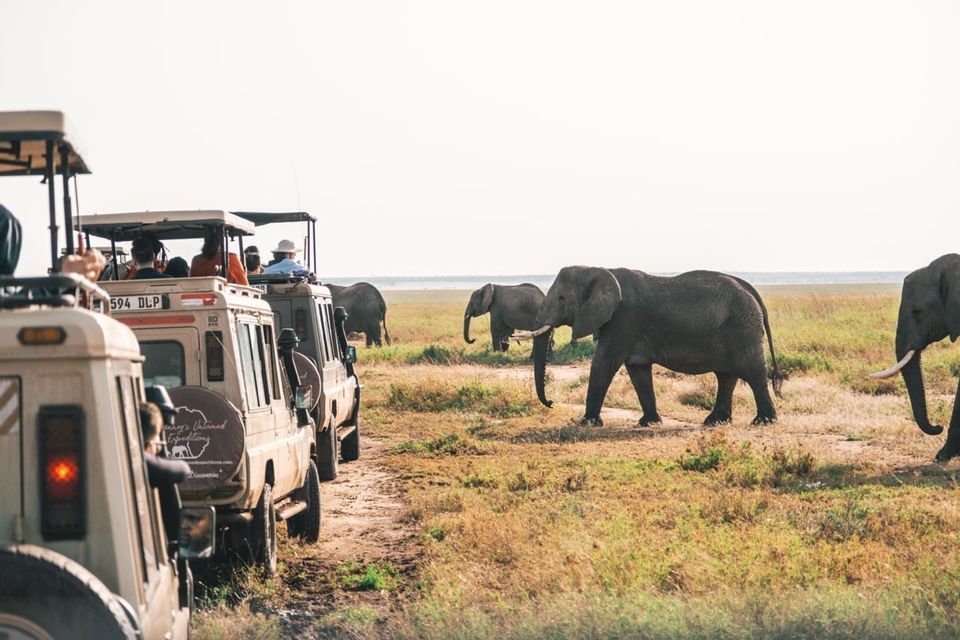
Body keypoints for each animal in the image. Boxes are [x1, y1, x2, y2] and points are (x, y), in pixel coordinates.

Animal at [514, 266, 784, 427]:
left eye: (561, 298)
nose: (551, 403)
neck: (599, 270)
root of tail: (751, 291)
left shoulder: (624, 319)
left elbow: (603, 363)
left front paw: (588, 423)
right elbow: (638, 370)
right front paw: (649, 423)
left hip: (743, 328)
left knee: (753, 372)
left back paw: (763, 421)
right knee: (726, 376)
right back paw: (715, 421)